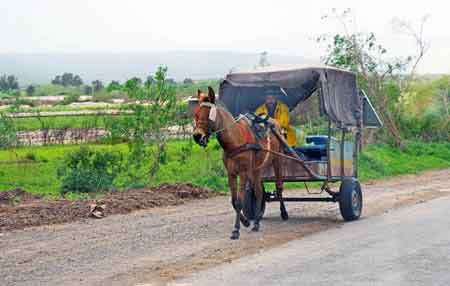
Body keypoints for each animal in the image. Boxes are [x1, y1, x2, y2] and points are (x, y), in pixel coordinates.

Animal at [192, 86, 288, 239]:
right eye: (196, 114)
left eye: (208, 114)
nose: (197, 136)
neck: (235, 140)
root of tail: (274, 123)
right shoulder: (231, 174)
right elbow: (234, 200)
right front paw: (246, 222)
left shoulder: (243, 173)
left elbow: (239, 201)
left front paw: (236, 229)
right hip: (256, 169)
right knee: (258, 191)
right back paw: (256, 222)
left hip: (277, 160)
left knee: (279, 187)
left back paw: (283, 213)